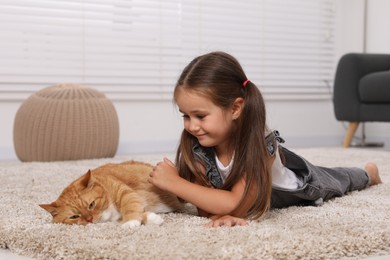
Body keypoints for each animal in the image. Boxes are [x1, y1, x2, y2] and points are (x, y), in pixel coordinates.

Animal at [39, 160, 183, 228]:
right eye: (74, 216)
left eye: (91, 204)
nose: (90, 219)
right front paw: (151, 218)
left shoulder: (124, 192)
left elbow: (130, 207)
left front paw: (131, 222)